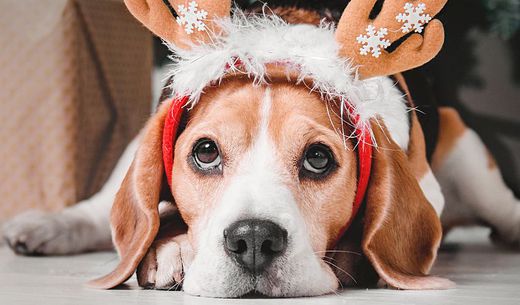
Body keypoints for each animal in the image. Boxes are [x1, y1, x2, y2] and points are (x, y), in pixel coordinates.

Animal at [4, 0, 520, 296]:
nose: (253, 239)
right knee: (97, 214)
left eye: (318, 158)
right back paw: (45, 226)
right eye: (205, 152)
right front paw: (171, 249)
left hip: (468, 153)